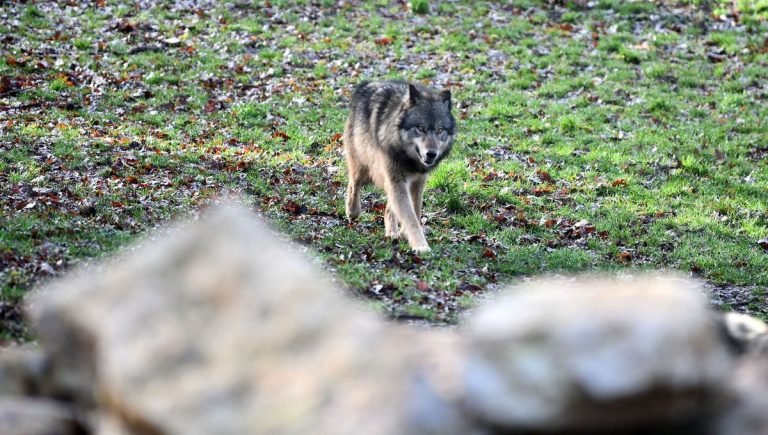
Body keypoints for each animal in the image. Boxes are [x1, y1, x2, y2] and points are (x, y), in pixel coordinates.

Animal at [343, 80, 456, 252]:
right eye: (420, 128)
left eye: (440, 129)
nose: (431, 154)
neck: (408, 159)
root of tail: (366, 84)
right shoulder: (396, 179)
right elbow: (410, 218)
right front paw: (421, 246)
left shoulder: (418, 180)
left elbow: (415, 209)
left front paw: (404, 233)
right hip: (363, 166)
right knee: (353, 184)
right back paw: (352, 211)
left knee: (390, 207)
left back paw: (392, 233)